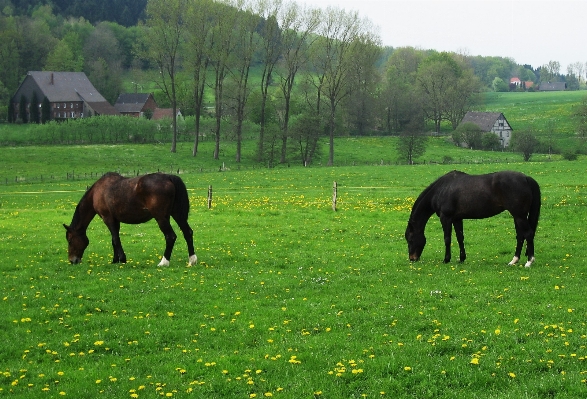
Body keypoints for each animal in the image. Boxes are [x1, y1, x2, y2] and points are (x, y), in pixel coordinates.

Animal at [63, 173, 198, 268]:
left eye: (70, 240)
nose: (72, 261)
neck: (97, 191)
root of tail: (169, 177)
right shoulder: (115, 220)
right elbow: (114, 239)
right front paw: (115, 260)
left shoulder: (108, 218)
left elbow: (115, 239)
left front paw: (122, 259)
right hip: (177, 215)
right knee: (188, 233)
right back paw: (192, 260)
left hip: (161, 217)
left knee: (170, 236)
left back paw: (164, 262)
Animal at [406, 170, 540, 268]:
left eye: (410, 239)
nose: (412, 259)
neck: (442, 189)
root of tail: (526, 178)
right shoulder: (457, 219)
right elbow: (460, 238)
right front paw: (461, 259)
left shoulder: (446, 218)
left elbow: (447, 239)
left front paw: (446, 259)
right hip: (517, 216)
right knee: (520, 236)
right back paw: (514, 261)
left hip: (519, 216)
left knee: (528, 234)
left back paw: (529, 261)